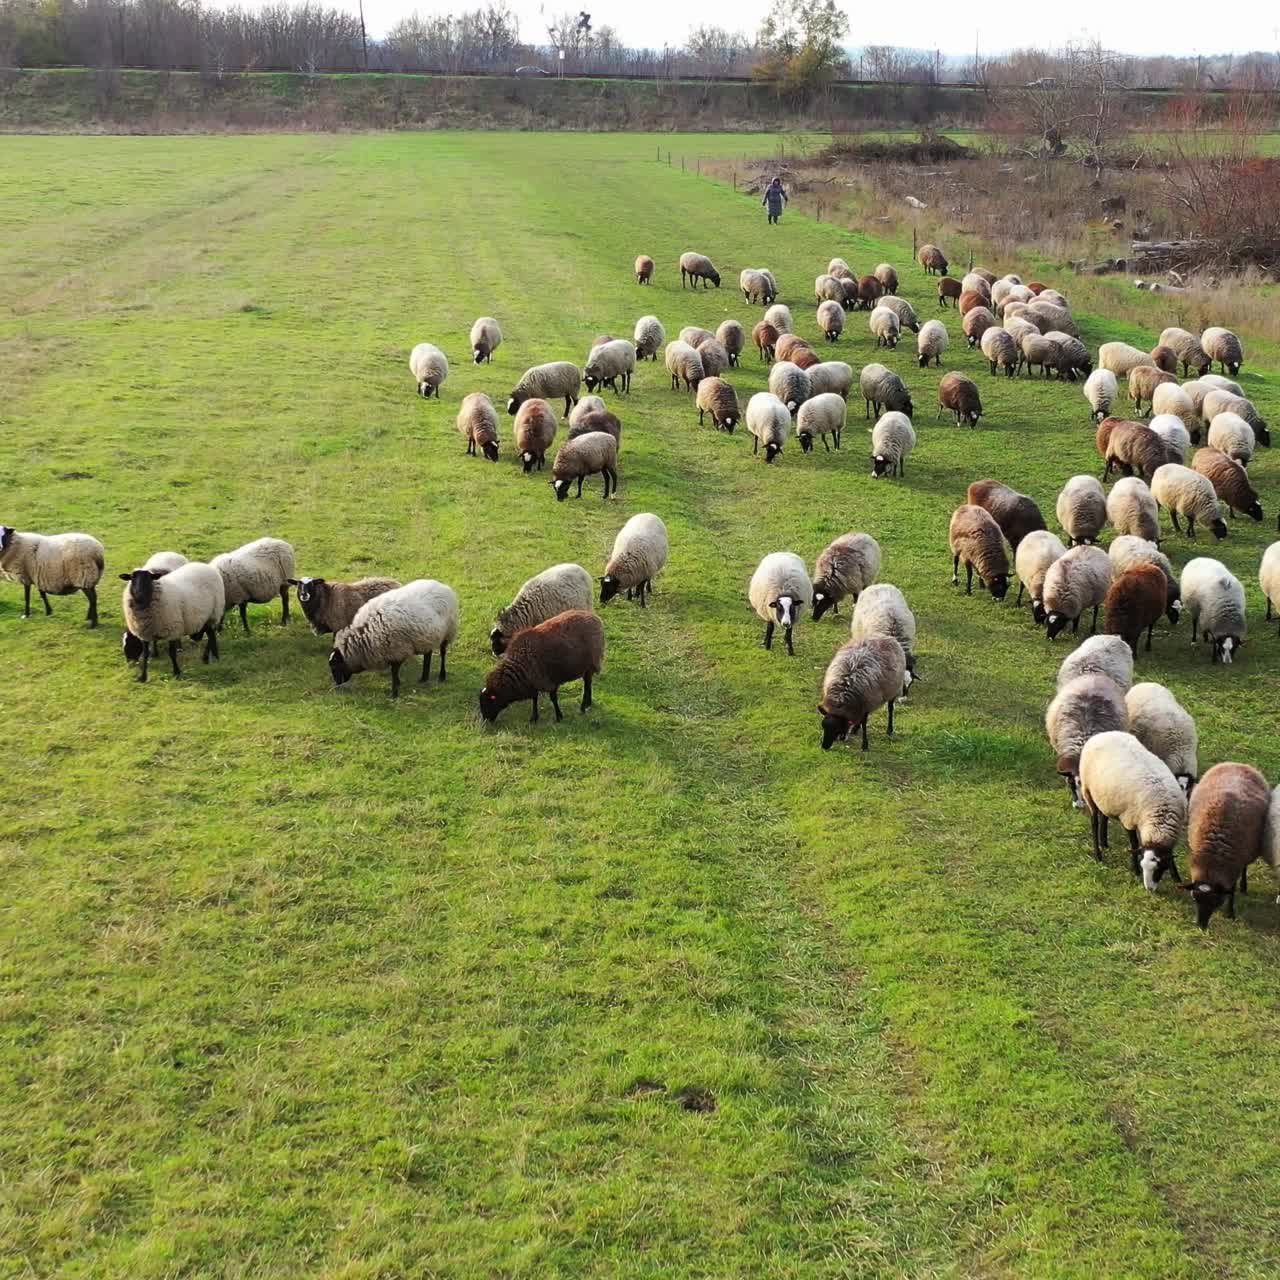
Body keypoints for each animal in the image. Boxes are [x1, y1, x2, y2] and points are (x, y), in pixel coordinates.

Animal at [329, 578, 457, 698]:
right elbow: (395, 671)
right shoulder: (393, 651)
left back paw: (441, 676)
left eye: (334, 666)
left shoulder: (397, 650)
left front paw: (394, 693)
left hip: (448, 631)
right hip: (428, 636)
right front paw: (398, 685)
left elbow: (394, 671)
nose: (337, 685)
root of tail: (442, 585)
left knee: (443, 652)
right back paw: (424, 678)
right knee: (428, 653)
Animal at [1078, 731, 1188, 889]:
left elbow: (1170, 856)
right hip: (1087, 790)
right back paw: (1098, 855)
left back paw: (1104, 844)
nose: (1149, 889)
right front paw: (1135, 870)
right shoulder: (1129, 818)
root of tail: (1102, 734)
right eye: (1143, 867)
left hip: (1104, 797)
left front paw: (1177, 878)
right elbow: (1134, 845)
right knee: (1094, 822)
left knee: (1104, 816)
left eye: (1159, 868)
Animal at [1184, 763, 1271, 927]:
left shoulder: (1234, 865)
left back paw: (1244, 887)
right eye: (1194, 898)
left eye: (1216, 902)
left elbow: (1232, 890)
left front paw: (1229, 913)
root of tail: (1239, 764)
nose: (1200, 926)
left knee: (1244, 869)